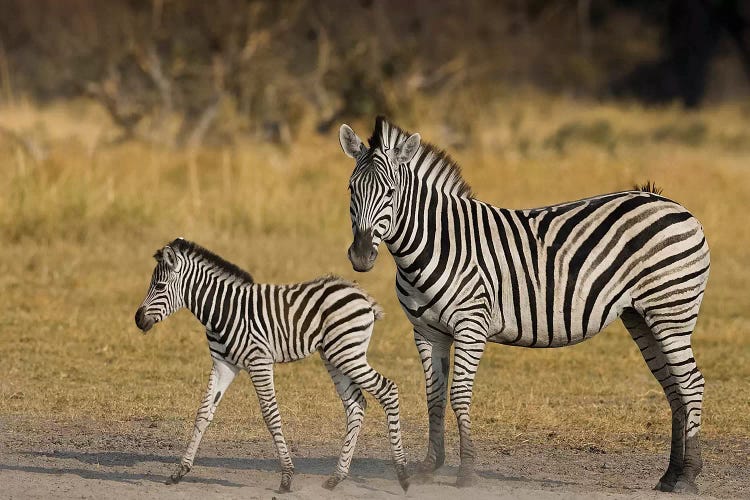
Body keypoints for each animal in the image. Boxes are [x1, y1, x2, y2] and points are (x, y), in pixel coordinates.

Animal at [132, 238, 408, 492]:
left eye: (159, 286)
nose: (137, 320)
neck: (222, 310)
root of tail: (361, 294)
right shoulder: (223, 365)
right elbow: (203, 412)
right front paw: (180, 471)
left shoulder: (259, 361)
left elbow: (271, 415)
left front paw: (286, 477)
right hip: (335, 356)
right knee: (355, 405)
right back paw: (336, 477)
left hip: (348, 353)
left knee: (388, 389)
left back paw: (403, 475)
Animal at [340, 116, 712, 492]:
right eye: (351, 189)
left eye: (390, 193)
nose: (361, 256)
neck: (434, 244)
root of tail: (668, 202)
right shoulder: (427, 332)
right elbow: (434, 395)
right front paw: (430, 466)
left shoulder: (471, 325)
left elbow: (459, 394)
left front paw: (467, 471)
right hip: (642, 316)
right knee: (673, 387)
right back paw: (669, 476)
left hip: (671, 312)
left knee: (690, 384)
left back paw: (688, 476)